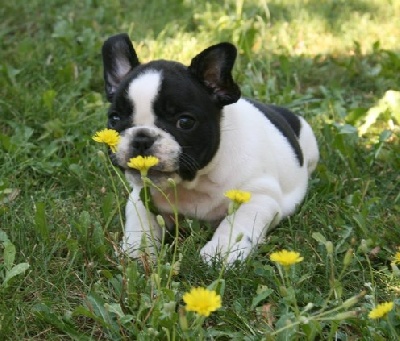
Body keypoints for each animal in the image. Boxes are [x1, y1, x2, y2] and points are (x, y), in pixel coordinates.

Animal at [101, 33, 320, 262]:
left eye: (185, 122)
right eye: (114, 119)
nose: (141, 138)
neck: (194, 183)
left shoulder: (258, 196)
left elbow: (236, 223)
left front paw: (221, 252)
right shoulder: (141, 195)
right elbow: (141, 221)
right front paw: (137, 250)